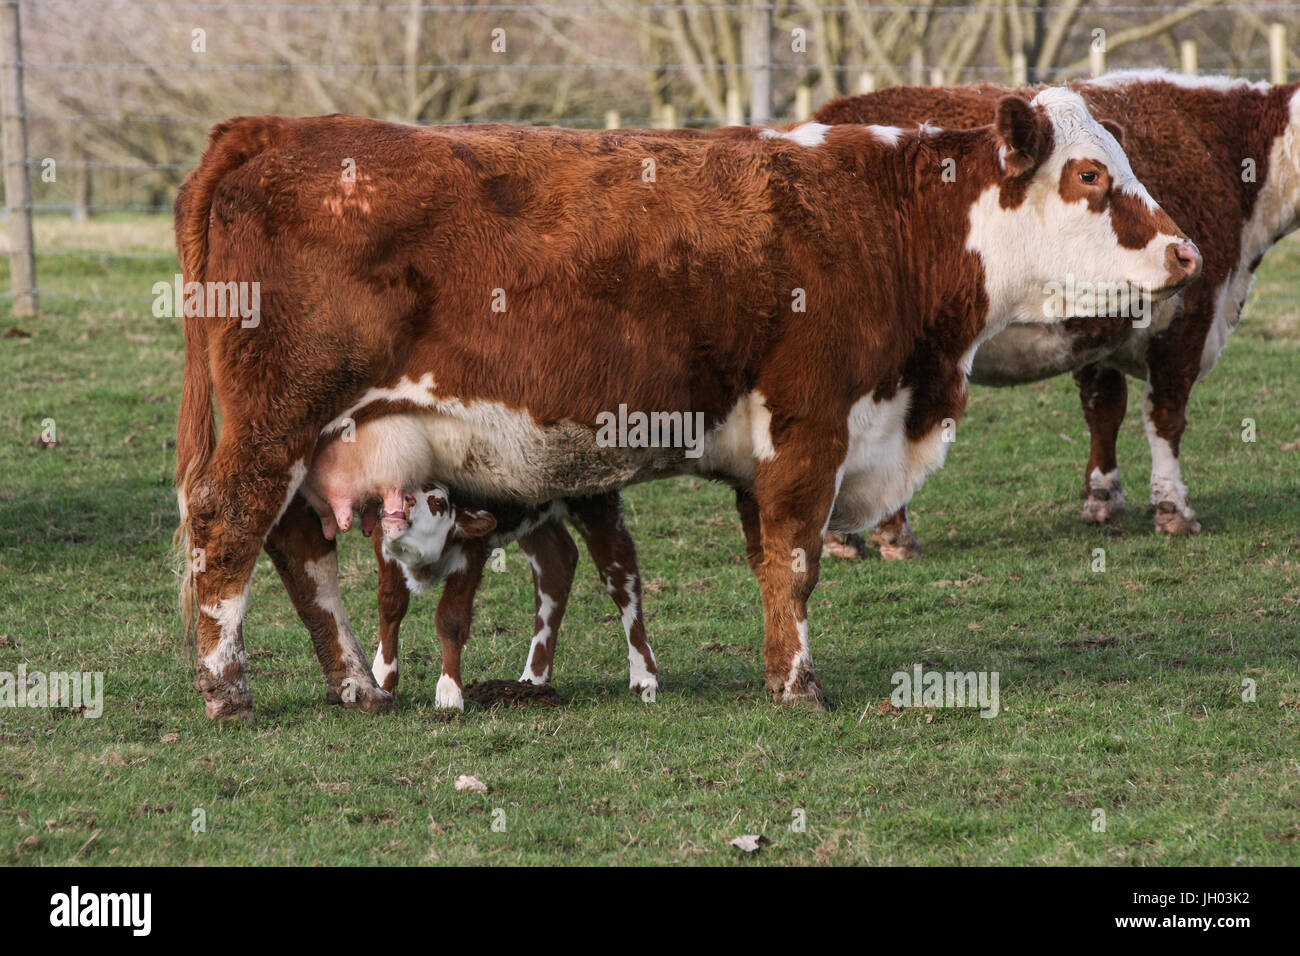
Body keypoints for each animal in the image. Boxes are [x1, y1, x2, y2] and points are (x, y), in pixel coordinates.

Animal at [299, 422, 659, 707]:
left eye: (438, 502)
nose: (404, 499)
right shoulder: (382, 544)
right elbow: (391, 606)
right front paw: (382, 677)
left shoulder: (473, 550)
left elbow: (450, 618)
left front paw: (449, 693)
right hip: (535, 519)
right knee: (556, 564)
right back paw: (534, 677)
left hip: (596, 503)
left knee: (621, 574)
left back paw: (644, 674)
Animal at [814, 71, 1297, 559]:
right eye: (1090, 175)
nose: (1188, 255)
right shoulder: (1188, 322)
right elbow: (1166, 417)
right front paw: (1173, 509)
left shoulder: (1103, 331)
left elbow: (1104, 409)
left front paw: (1103, 499)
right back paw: (891, 532)